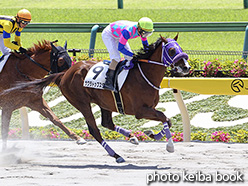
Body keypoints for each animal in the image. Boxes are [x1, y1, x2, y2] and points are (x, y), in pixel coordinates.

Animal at [6, 35, 191, 163]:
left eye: (180, 47)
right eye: (172, 50)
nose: (186, 67)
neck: (144, 75)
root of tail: (65, 73)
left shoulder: (148, 109)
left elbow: (168, 120)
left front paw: (152, 134)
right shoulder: (141, 111)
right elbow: (164, 117)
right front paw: (169, 145)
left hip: (104, 102)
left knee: (106, 123)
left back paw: (132, 137)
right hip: (82, 103)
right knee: (94, 129)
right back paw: (116, 155)